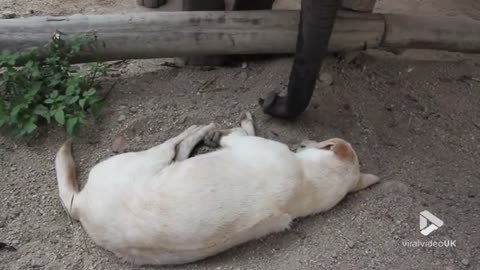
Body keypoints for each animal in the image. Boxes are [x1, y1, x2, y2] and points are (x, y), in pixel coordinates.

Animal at [55, 112, 378, 266]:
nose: (301, 142)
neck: (308, 182)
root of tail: (79, 205)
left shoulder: (242, 143)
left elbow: (237, 133)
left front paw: (227, 130)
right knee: (178, 150)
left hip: (147, 158)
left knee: (175, 144)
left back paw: (195, 131)